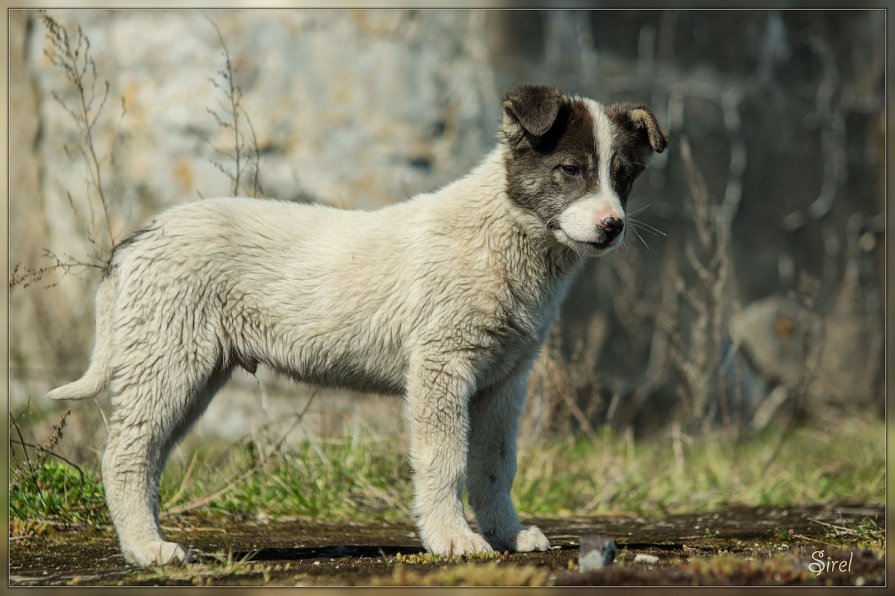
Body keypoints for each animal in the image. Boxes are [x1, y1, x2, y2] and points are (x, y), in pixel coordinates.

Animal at [49, 82, 664, 564]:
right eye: (570, 171)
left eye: (624, 177)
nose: (612, 225)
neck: (507, 233)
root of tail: (139, 238)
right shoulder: (442, 368)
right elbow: (445, 461)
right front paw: (452, 539)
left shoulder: (504, 383)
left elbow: (495, 465)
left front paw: (507, 535)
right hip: (169, 359)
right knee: (126, 455)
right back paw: (145, 549)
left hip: (187, 372)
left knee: (148, 455)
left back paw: (151, 542)